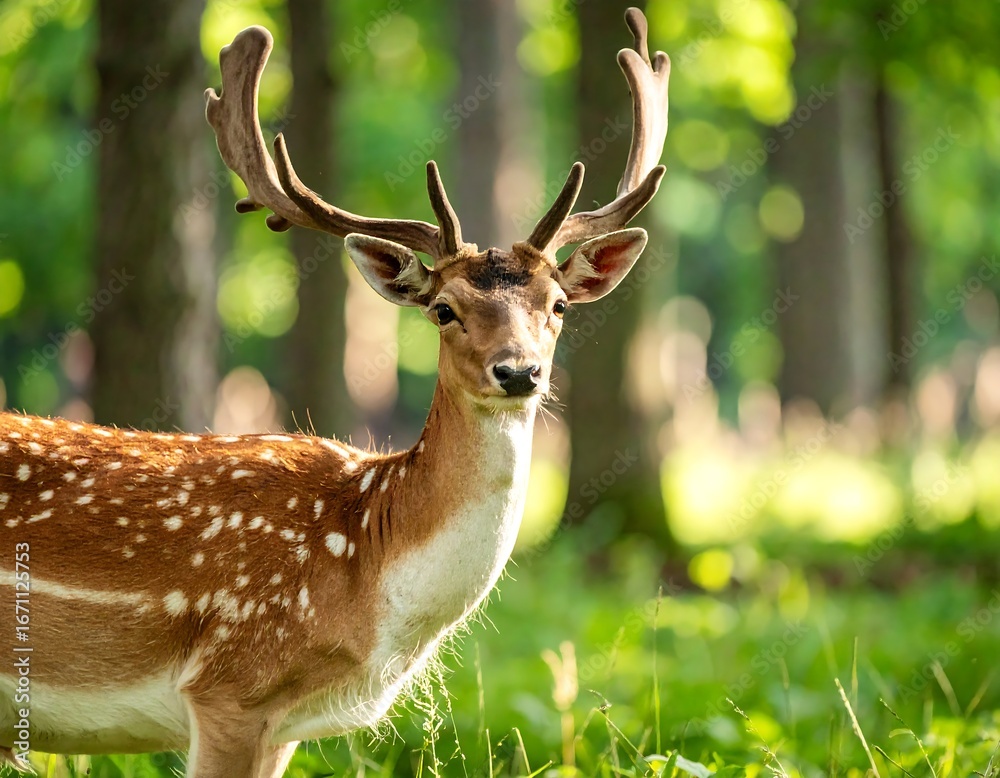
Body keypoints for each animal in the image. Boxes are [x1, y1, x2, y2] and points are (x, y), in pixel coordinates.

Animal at [0, 8, 669, 777]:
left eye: (558, 304)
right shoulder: (230, 687)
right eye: (443, 309)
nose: (519, 371)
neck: (369, 578)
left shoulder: (283, 726)